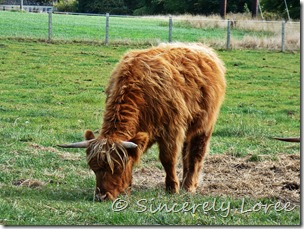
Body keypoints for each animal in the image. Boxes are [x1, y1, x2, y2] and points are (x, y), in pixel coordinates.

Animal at [58, 42, 226, 200]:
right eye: (94, 168)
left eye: (117, 167)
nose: (101, 197)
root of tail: (203, 49)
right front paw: (128, 188)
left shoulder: (172, 130)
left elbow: (168, 159)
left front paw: (172, 189)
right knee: (186, 154)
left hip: (205, 126)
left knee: (196, 154)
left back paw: (189, 186)